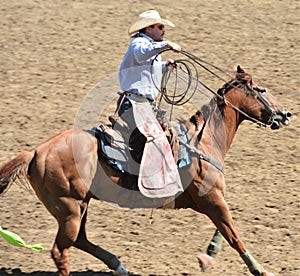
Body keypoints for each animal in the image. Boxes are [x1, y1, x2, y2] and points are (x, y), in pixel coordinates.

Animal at [0, 66, 290, 274]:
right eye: (262, 89)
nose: (285, 114)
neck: (203, 141)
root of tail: (37, 151)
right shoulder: (211, 199)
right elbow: (234, 235)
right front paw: (260, 270)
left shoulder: (213, 199)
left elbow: (226, 229)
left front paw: (208, 257)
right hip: (69, 207)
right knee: (62, 252)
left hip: (78, 206)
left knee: (79, 240)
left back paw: (118, 266)